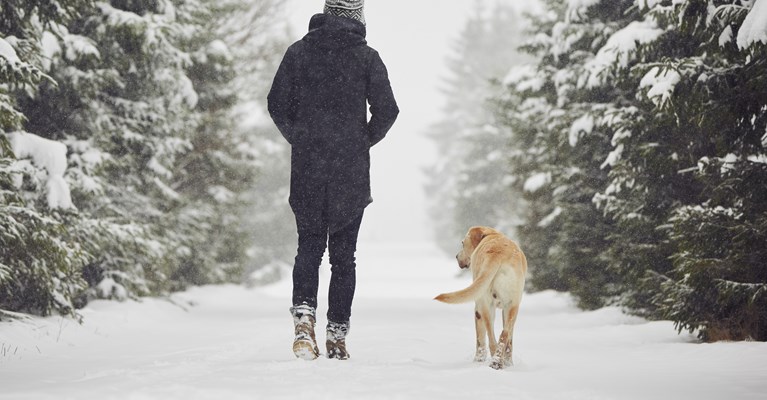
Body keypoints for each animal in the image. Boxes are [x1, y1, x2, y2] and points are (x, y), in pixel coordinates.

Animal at [438, 227, 528, 370]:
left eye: (463, 243)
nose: (456, 256)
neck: (491, 235)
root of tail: (497, 253)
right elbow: (510, 340)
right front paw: (509, 363)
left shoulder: (478, 308)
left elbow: (479, 339)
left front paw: (478, 360)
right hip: (512, 306)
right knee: (504, 335)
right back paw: (499, 362)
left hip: (484, 305)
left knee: (491, 338)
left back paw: (494, 361)